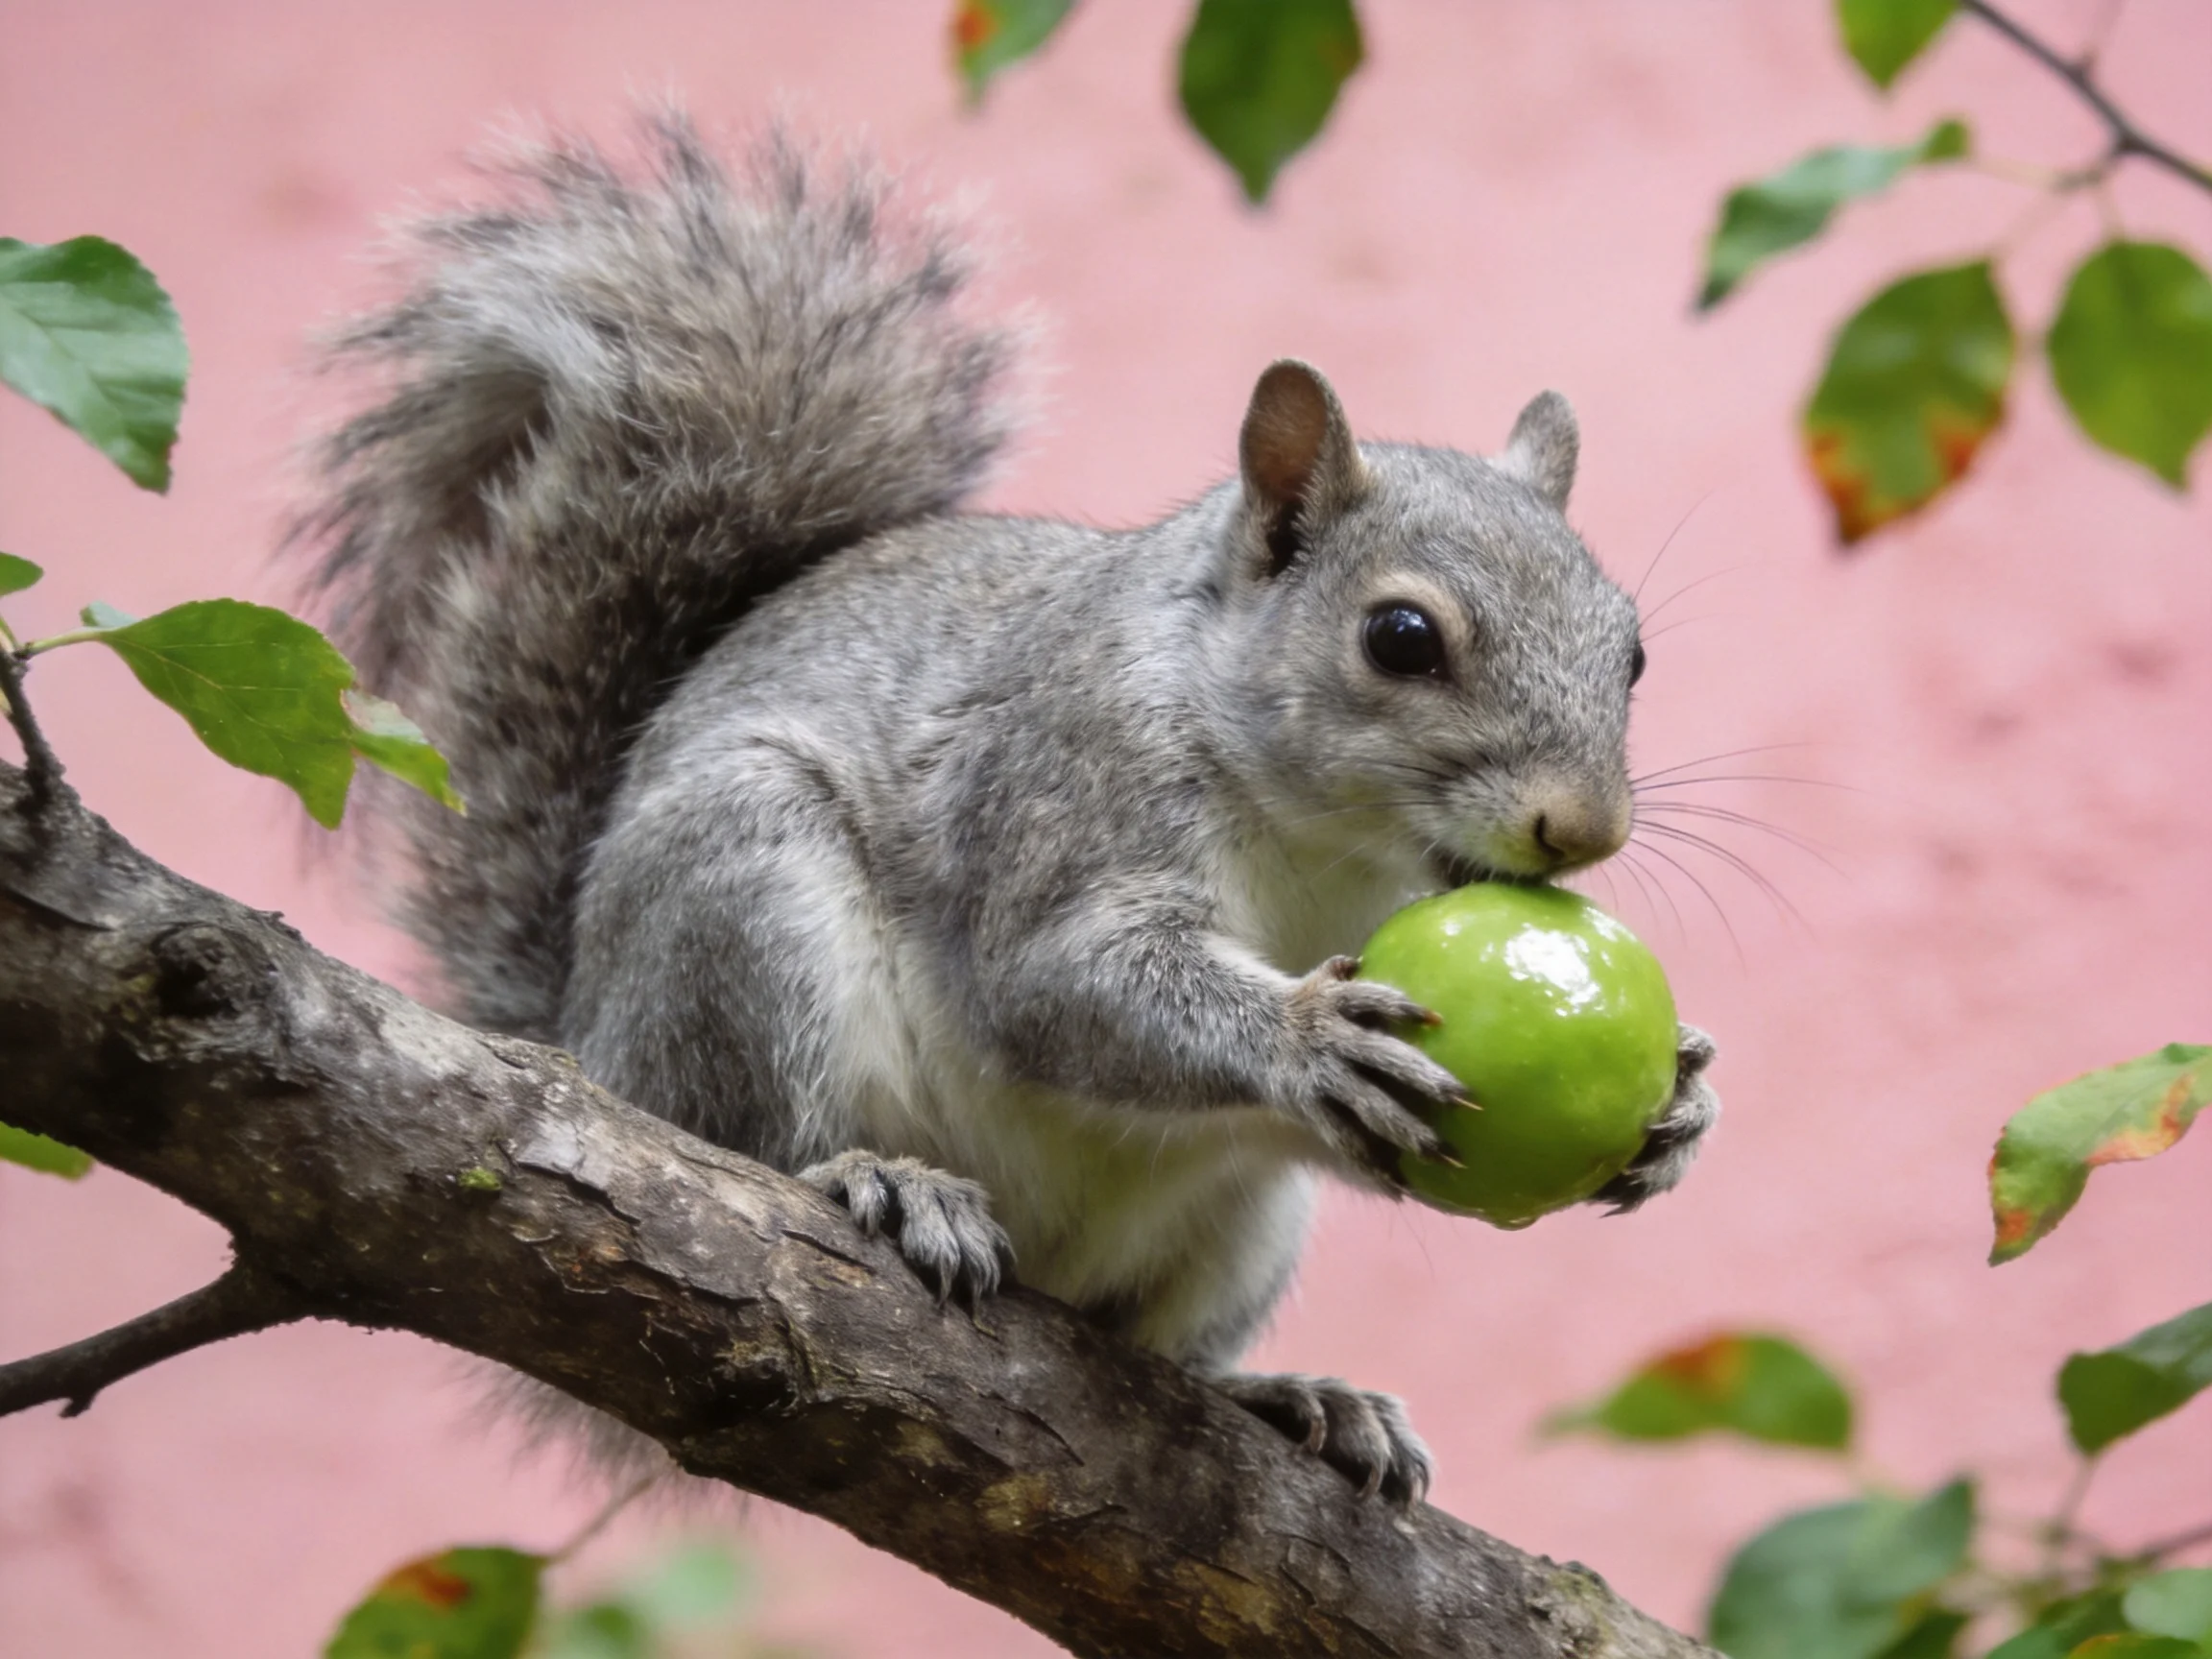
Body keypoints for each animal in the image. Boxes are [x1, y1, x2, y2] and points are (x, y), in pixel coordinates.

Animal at [301, 114, 1719, 1507]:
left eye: (1635, 650)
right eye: (1401, 638)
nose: (1584, 831)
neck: (1331, 843)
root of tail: (586, 1036)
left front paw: (1684, 1104)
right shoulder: (1062, 791)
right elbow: (1056, 982)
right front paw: (1308, 1035)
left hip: (1238, 1227)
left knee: (1164, 1340)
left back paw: (1289, 1401)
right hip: (739, 901)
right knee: (747, 1143)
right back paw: (877, 1180)